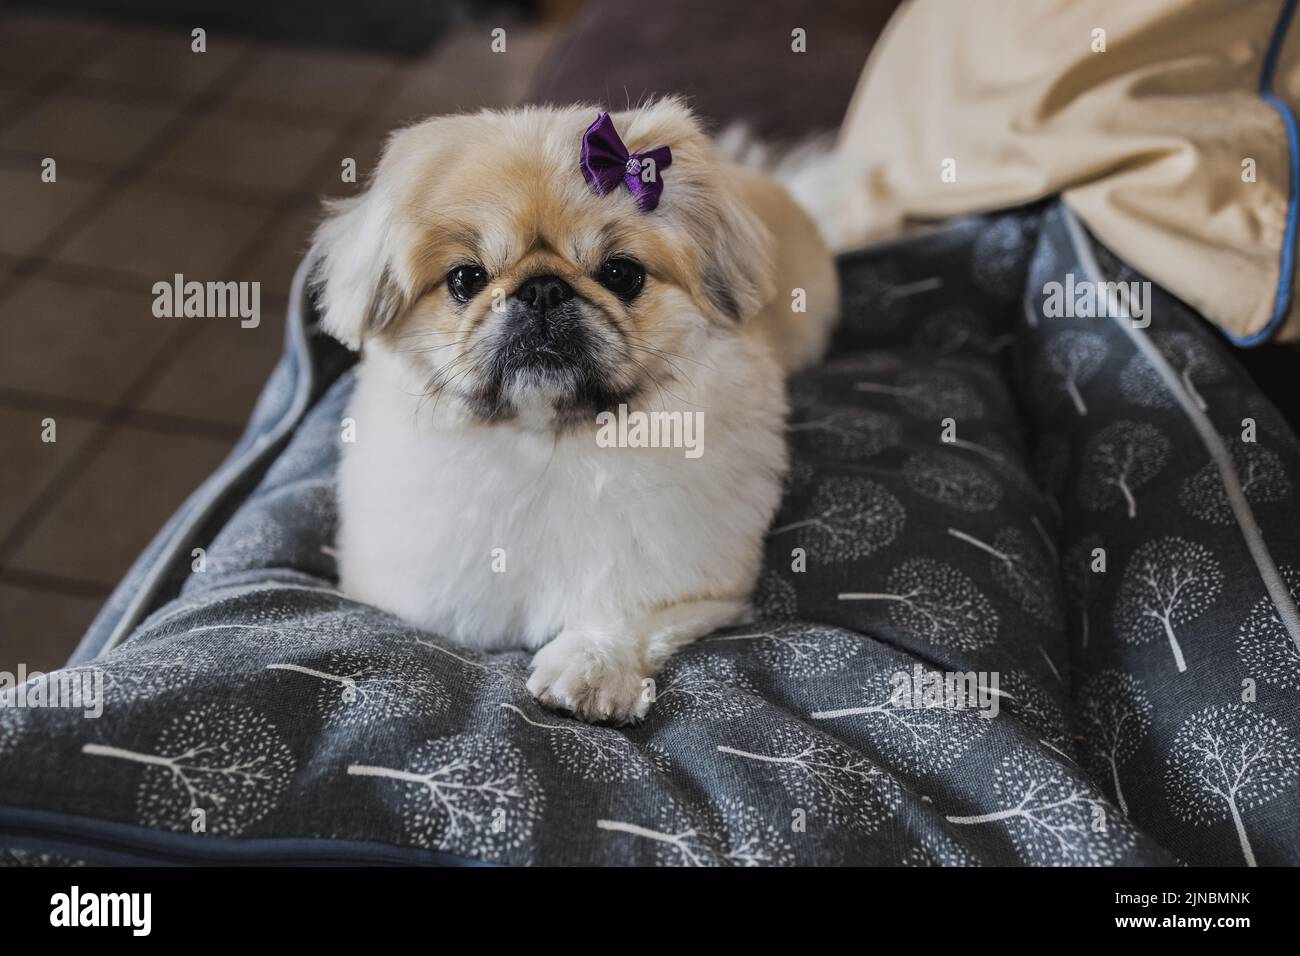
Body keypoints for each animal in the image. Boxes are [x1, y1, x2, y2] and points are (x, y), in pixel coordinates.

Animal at [310, 98, 837, 723]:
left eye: (621, 274)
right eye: (466, 278)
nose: (542, 288)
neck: (548, 445)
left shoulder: (703, 585)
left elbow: (631, 612)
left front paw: (592, 668)